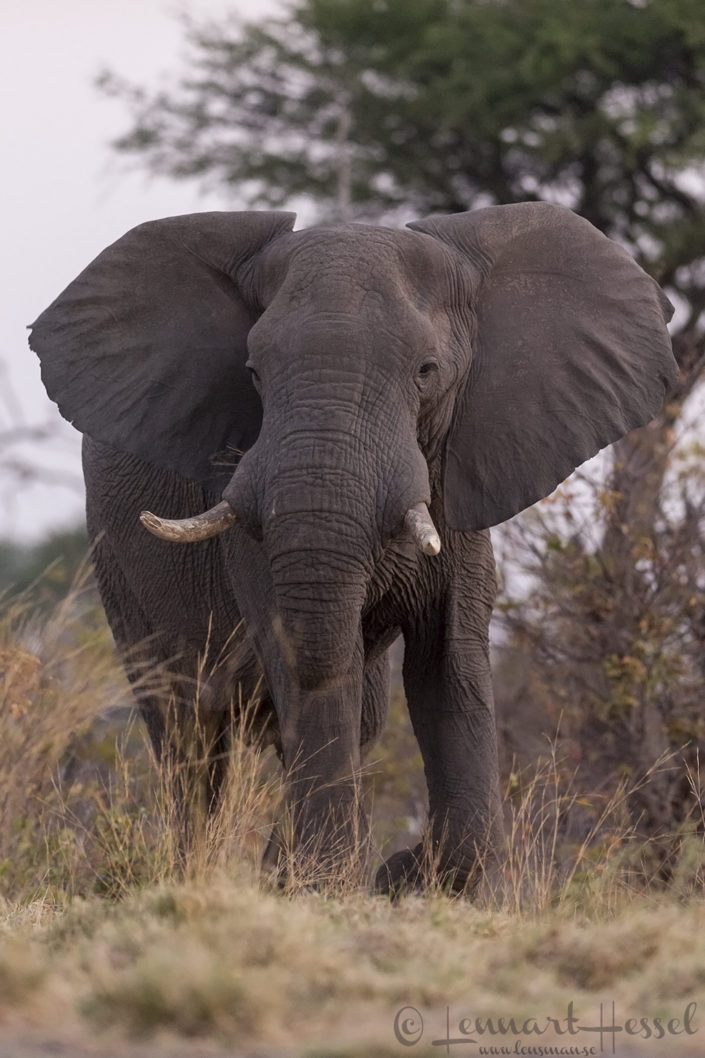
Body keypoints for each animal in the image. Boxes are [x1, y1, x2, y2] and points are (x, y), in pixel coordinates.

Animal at [29, 202, 677, 893]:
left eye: (426, 371)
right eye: (252, 373)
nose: (394, 864)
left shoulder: (459, 481)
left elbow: (451, 663)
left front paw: (412, 880)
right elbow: (306, 659)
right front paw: (328, 884)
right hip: (116, 564)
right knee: (187, 732)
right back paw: (201, 871)